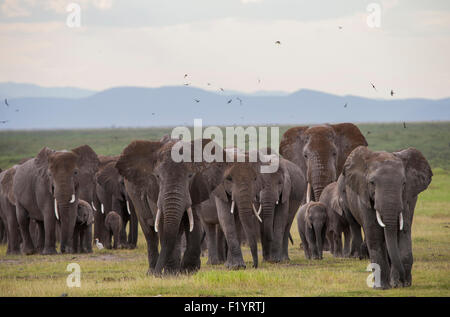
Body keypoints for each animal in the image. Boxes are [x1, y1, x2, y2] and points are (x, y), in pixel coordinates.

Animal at [342, 146, 432, 288]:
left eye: (404, 183)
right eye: (372, 183)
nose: (404, 280)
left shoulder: (406, 199)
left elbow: (403, 231)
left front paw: (400, 284)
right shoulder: (364, 198)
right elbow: (374, 234)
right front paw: (382, 287)